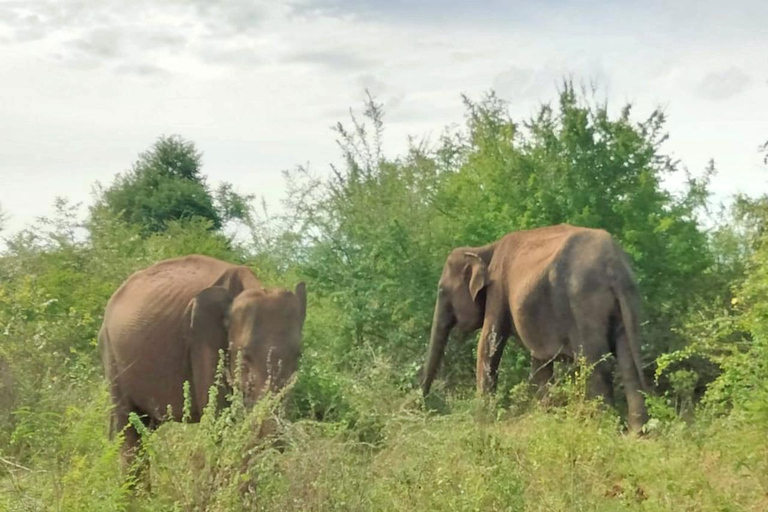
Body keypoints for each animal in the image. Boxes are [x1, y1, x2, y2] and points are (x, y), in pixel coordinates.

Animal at [99, 254, 306, 466]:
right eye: (244, 356)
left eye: (298, 355)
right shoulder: (202, 339)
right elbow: (217, 418)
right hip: (110, 351)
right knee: (129, 428)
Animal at [424, 224, 652, 432]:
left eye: (441, 290)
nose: (424, 402)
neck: (484, 249)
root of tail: (614, 265)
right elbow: (541, 362)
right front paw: (546, 418)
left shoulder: (498, 289)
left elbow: (489, 343)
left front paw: (482, 421)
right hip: (627, 301)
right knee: (628, 361)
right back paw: (637, 433)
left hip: (584, 301)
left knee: (595, 363)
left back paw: (602, 428)